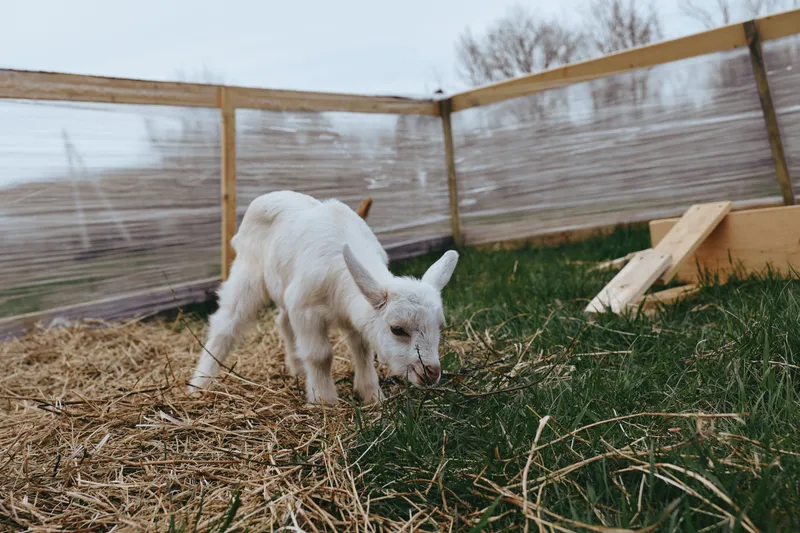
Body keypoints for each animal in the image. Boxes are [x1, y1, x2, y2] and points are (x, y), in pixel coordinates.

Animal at [188, 191, 459, 405]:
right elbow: (320, 355)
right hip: (248, 272)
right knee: (227, 324)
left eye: (440, 326)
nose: (431, 373)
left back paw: (297, 370)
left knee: (282, 322)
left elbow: (362, 351)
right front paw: (324, 401)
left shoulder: (352, 316)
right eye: (397, 329)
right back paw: (199, 383)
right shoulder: (307, 310)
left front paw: (372, 396)